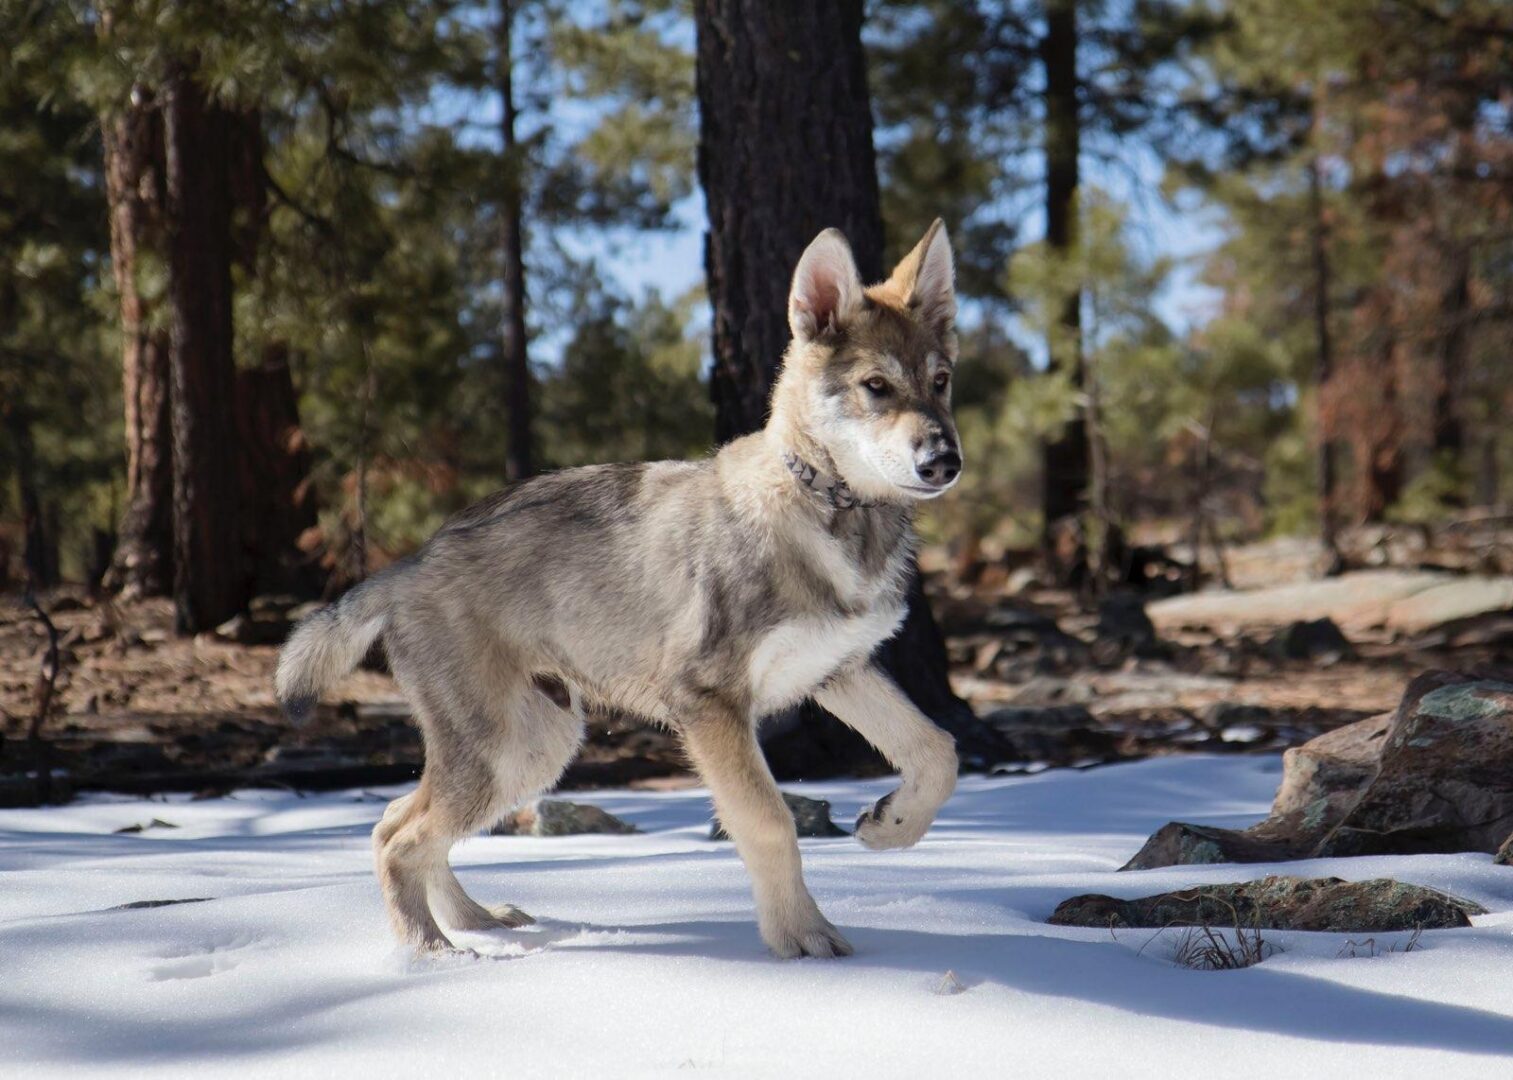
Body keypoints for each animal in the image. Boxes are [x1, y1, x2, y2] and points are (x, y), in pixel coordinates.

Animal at [278, 216, 962, 949]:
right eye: (876, 386)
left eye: (941, 381)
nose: (945, 462)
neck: (831, 513)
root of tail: (410, 561)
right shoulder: (709, 702)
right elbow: (770, 823)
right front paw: (803, 940)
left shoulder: (841, 670)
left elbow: (938, 752)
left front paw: (891, 829)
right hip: (507, 754)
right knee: (397, 839)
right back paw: (434, 953)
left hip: (533, 751)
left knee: (396, 821)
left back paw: (479, 923)